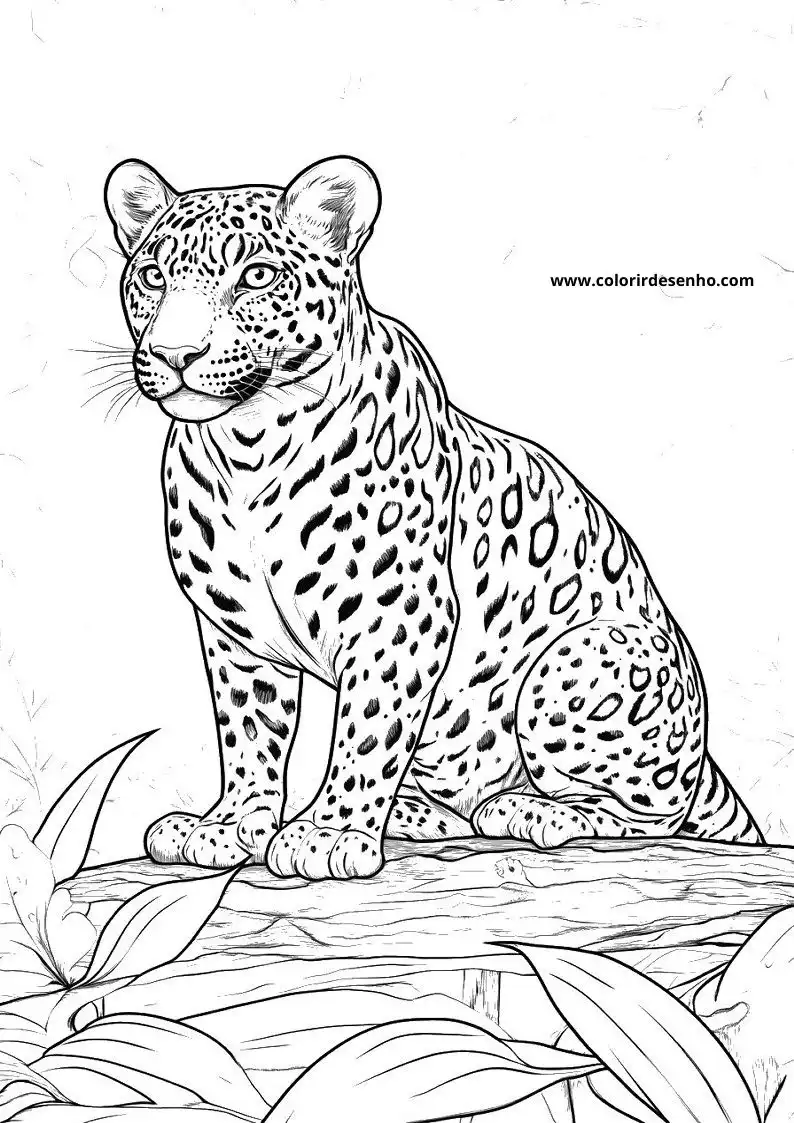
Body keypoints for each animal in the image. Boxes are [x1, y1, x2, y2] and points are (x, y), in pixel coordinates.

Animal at [104, 154, 763, 880]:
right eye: (152, 276)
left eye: (257, 276)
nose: (175, 354)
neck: (247, 447)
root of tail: (707, 758)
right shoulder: (236, 634)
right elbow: (250, 734)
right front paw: (228, 825)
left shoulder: (396, 615)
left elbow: (366, 730)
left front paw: (330, 834)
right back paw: (420, 815)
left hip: (579, 663)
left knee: (650, 814)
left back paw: (532, 811)